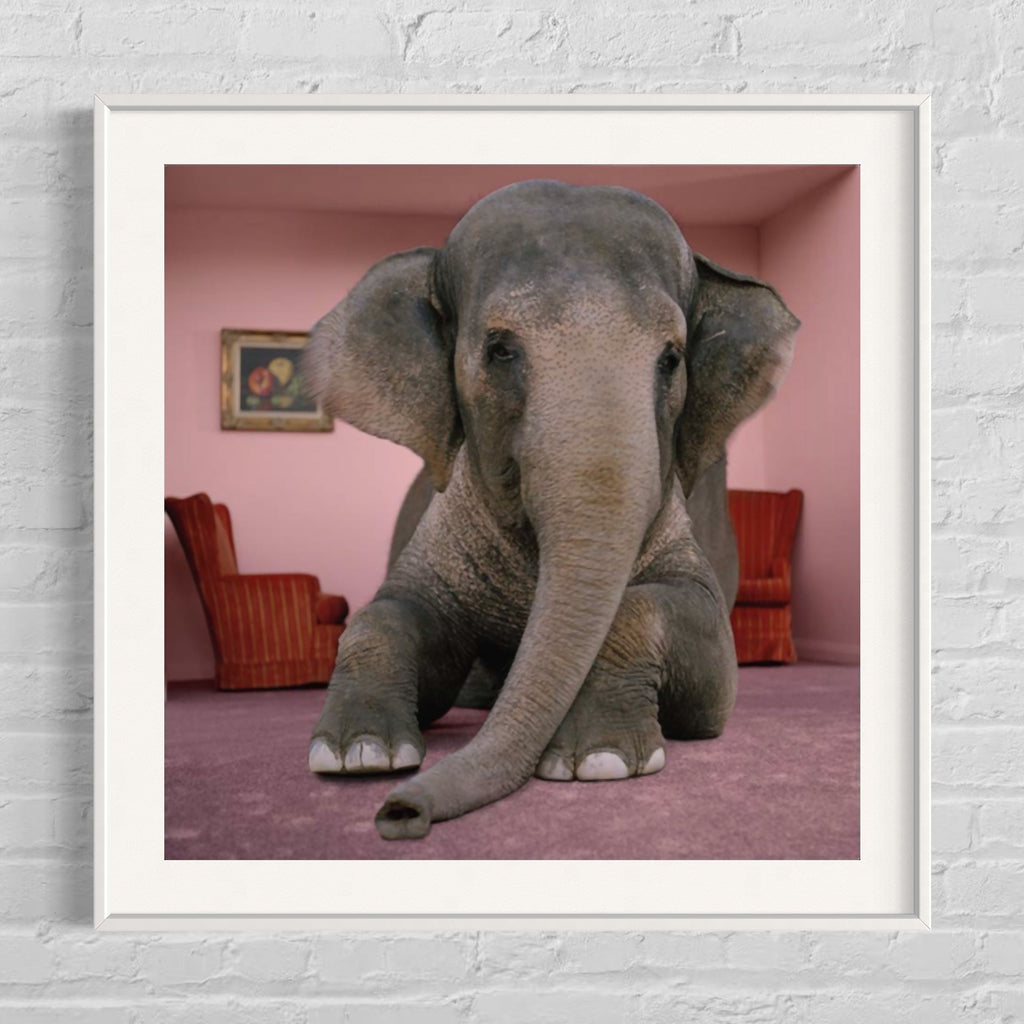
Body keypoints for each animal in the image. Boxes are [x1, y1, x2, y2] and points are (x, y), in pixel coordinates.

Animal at [303, 182, 798, 839]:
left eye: (671, 358)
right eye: (499, 350)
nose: (398, 814)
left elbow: (711, 662)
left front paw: (599, 761)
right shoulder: (444, 533)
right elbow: (392, 612)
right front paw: (358, 755)